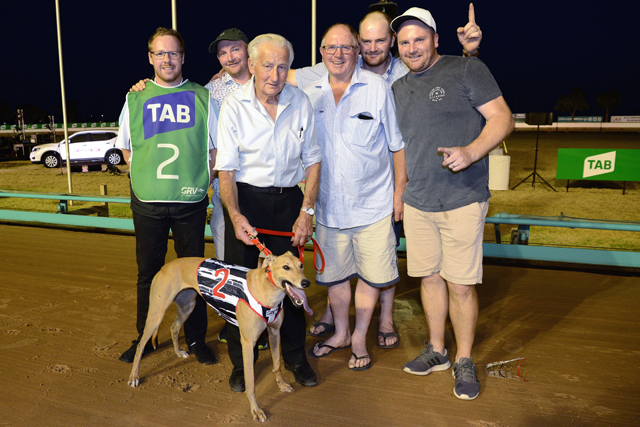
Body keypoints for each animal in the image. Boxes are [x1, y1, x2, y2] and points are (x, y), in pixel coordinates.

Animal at [127, 252, 312, 422]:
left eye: (301, 265)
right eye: (286, 267)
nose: (306, 283)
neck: (266, 289)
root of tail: (164, 267)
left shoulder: (274, 333)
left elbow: (277, 364)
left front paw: (282, 385)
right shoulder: (248, 343)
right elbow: (250, 382)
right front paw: (256, 410)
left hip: (187, 306)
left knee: (174, 328)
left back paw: (179, 352)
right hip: (157, 313)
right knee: (141, 344)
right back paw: (134, 377)